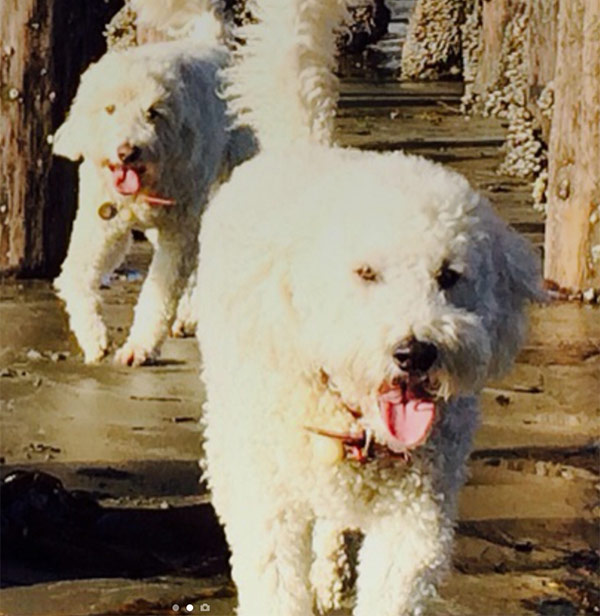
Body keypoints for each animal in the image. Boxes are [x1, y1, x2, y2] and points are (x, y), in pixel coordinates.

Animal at [52, 1, 255, 366]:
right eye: (109, 108)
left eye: (153, 113)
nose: (127, 151)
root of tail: (212, 42)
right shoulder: (101, 227)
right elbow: (74, 275)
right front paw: (93, 337)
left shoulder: (179, 232)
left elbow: (158, 296)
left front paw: (140, 346)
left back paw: (190, 313)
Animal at [196, 1, 540, 616]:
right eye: (364, 273)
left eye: (448, 276)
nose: (414, 353)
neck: (356, 426)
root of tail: (306, 150)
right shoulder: (272, 508)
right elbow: (274, 579)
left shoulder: (416, 520)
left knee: (332, 522)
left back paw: (330, 575)